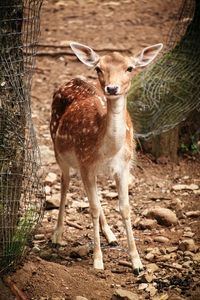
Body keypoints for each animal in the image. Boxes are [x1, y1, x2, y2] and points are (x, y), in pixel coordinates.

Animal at [49, 41, 162, 274]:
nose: (111, 88)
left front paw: (137, 263)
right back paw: (57, 235)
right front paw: (98, 261)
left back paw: (110, 235)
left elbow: (125, 208)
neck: (108, 150)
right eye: (99, 68)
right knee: (65, 184)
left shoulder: (123, 167)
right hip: (58, 150)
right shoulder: (85, 163)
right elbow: (92, 208)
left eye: (130, 68)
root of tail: (70, 80)